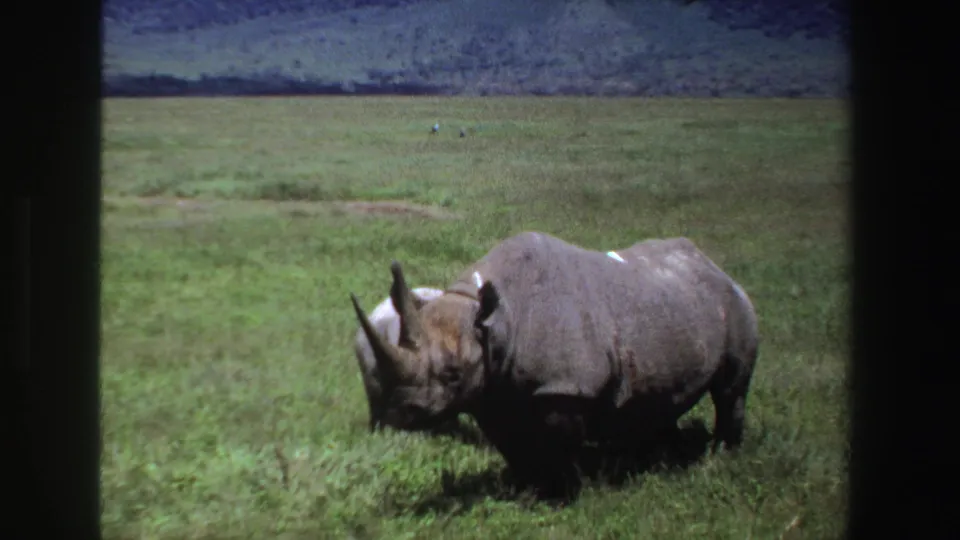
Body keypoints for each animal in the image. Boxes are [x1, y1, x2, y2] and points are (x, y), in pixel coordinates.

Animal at [349, 232, 759, 498]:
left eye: (451, 374)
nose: (400, 413)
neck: (492, 323)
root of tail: (714, 266)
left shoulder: (565, 387)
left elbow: (561, 445)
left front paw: (567, 495)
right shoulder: (493, 389)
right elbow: (512, 444)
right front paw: (526, 490)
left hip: (735, 304)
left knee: (730, 390)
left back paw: (722, 455)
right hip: (673, 304)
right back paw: (660, 456)